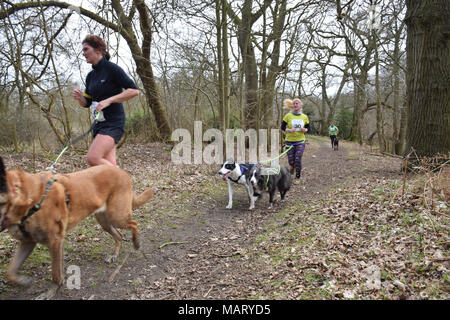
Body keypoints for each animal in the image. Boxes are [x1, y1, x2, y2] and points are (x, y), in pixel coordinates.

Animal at [0, 156, 153, 298]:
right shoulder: (28, 242)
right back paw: (114, 255)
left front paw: (50, 292)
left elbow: (56, 274)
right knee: (119, 235)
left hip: (117, 216)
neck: (31, 200)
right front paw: (23, 281)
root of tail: (123, 172)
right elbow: (10, 272)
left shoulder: (55, 241)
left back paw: (136, 243)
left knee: (134, 224)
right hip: (104, 220)